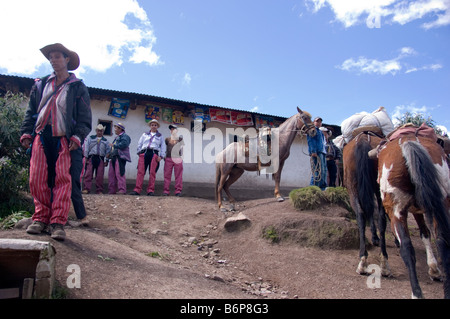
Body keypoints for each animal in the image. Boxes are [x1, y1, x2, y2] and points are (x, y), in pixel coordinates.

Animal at [376, 132, 450, 300]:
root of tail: (408, 142)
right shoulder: (420, 210)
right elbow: (425, 233)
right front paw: (434, 269)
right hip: (441, 202)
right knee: (442, 241)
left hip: (396, 209)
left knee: (407, 247)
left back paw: (416, 293)